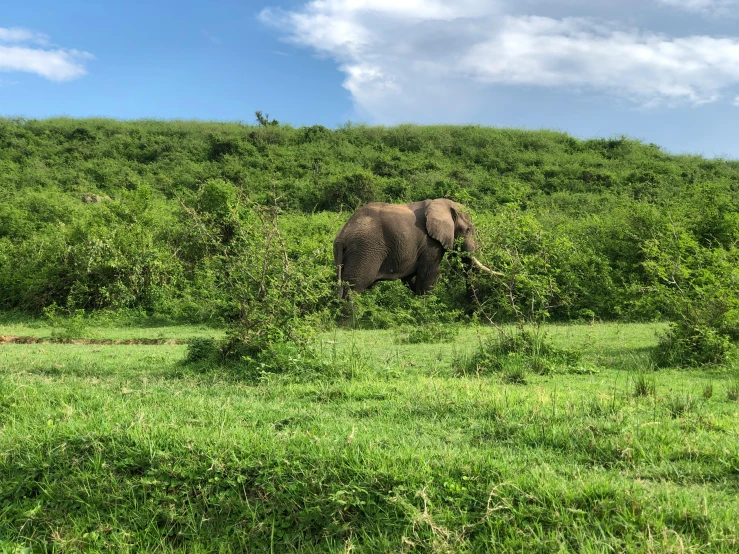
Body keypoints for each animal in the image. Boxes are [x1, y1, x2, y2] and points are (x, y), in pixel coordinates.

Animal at [334, 197, 498, 300]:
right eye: (469, 230)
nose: (471, 312)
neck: (441, 203)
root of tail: (343, 234)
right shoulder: (429, 244)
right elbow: (429, 275)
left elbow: (411, 278)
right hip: (364, 250)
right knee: (354, 287)